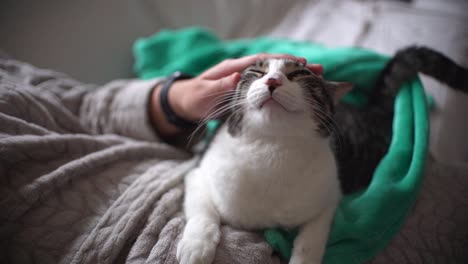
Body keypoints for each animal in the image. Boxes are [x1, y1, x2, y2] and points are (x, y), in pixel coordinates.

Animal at [176, 46, 468, 262]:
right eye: (257, 72)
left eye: (298, 74)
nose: (272, 80)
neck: (272, 147)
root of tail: (373, 109)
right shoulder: (198, 175)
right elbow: (203, 214)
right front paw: (196, 248)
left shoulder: (328, 198)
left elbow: (311, 240)